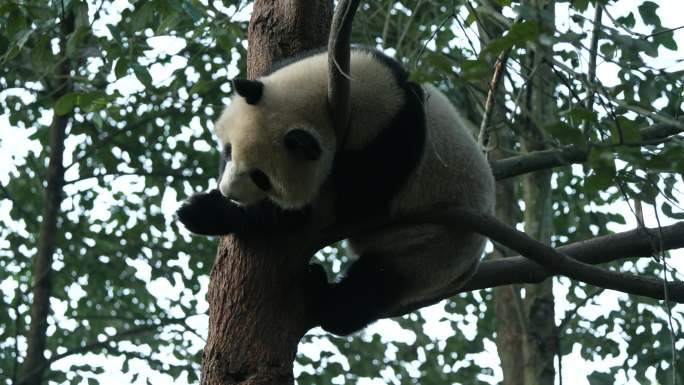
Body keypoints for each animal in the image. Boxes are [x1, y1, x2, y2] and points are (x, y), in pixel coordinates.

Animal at [176, 48, 494, 334]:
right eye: (229, 152)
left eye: (261, 178)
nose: (229, 192)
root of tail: (469, 266)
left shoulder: (391, 143)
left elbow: (342, 209)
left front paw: (205, 211)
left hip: (429, 248)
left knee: (369, 289)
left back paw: (318, 292)